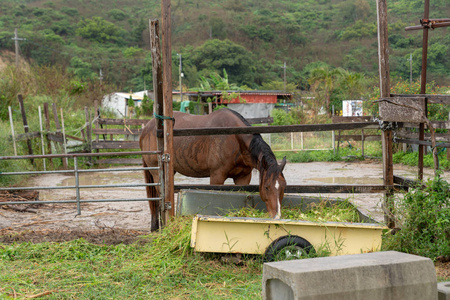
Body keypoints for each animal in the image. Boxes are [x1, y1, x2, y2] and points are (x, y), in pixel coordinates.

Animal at [141, 109, 286, 231]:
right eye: (266, 187)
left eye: (283, 187)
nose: (277, 216)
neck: (234, 139)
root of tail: (147, 127)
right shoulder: (217, 176)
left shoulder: (243, 177)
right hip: (156, 173)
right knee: (158, 199)